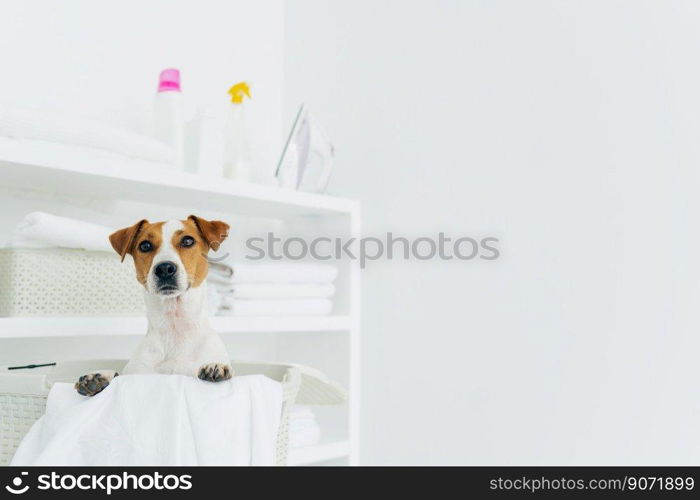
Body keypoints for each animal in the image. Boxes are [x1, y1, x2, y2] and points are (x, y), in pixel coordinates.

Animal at [76, 215, 232, 394]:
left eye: (187, 241)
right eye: (145, 245)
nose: (164, 268)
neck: (174, 327)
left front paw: (215, 367)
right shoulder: (136, 373)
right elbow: (119, 376)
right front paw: (100, 377)